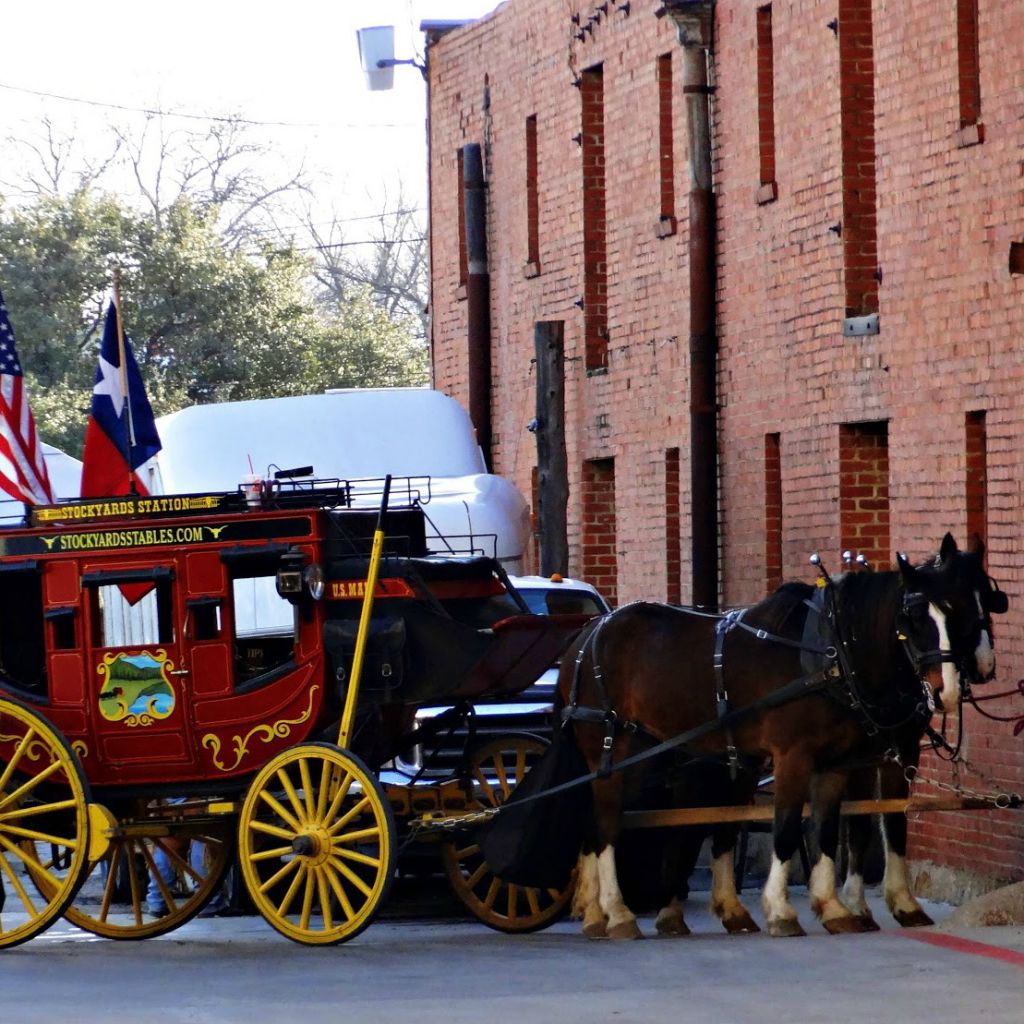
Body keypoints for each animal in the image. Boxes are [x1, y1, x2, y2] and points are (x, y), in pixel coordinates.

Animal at [557, 532, 1003, 937]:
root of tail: (586, 634)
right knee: (608, 825)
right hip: (614, 751)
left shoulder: (842, 761)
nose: (948, 688)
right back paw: (617, 913)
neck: (833, 655)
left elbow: (834, 828)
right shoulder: (796, 755)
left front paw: (836, 907)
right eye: (914, 616)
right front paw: (783, 910)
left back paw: (603, 915)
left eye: (977, 604)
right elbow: (789, 826)